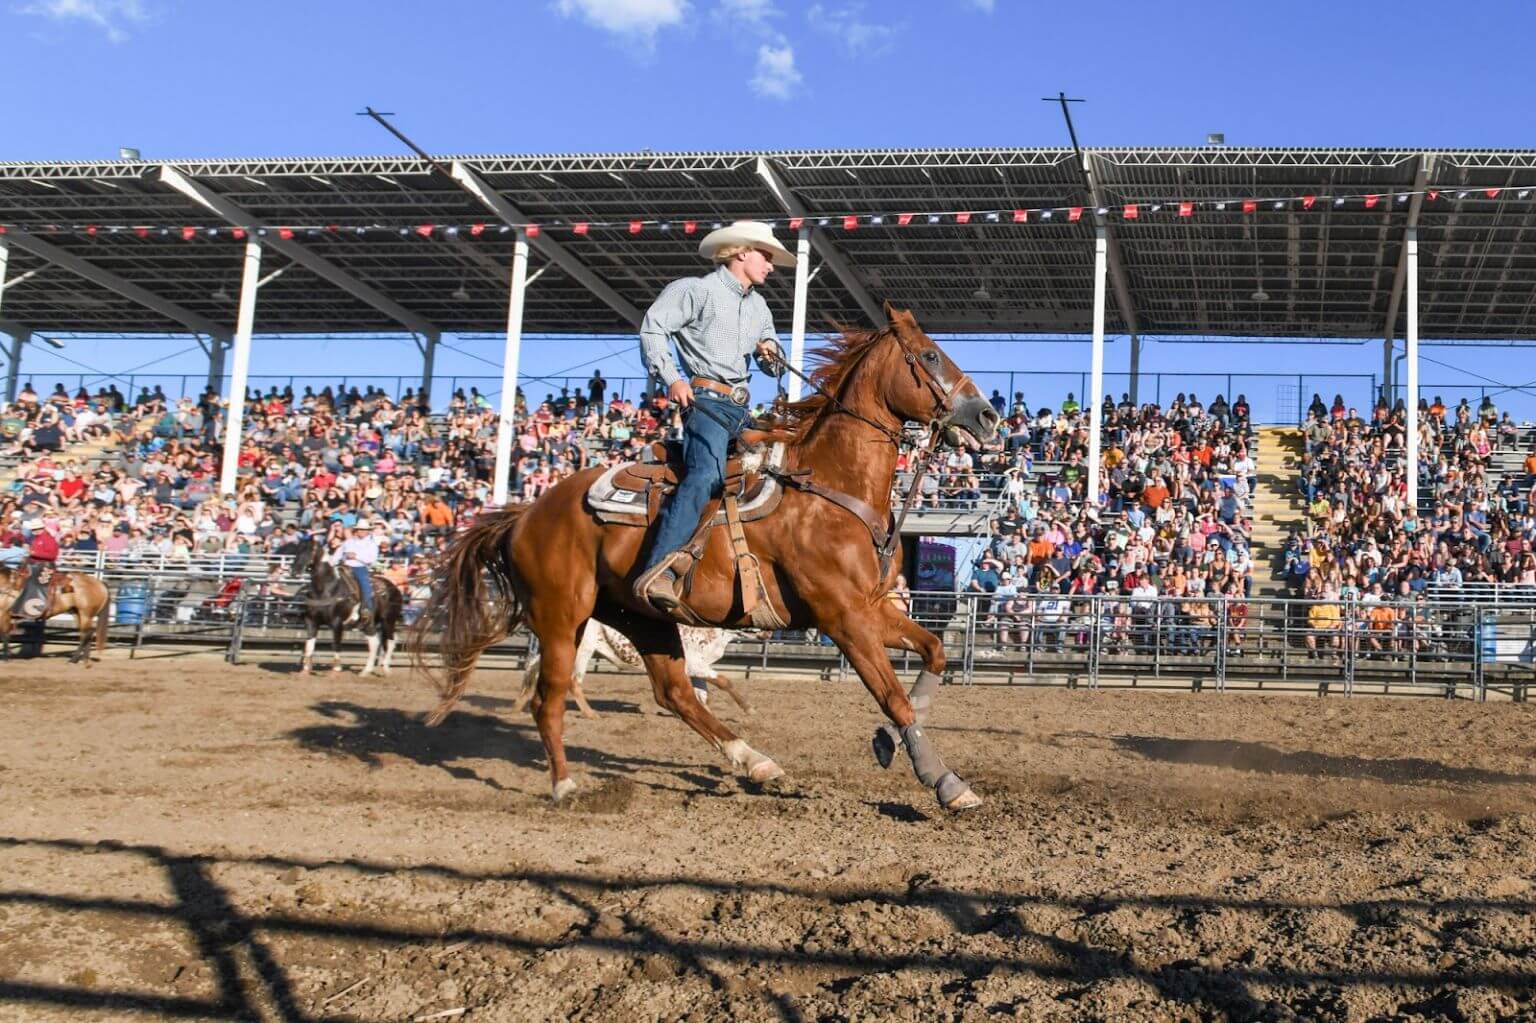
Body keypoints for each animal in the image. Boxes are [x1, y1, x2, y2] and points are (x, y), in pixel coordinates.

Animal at [288, 537, 405, 672]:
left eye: (310, 550)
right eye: (297, 550)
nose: (294, 572)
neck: (327, 588)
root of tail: (394, 588)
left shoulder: (337, 622)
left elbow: (336, 644)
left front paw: (337, 668)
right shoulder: (311, 621)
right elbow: (310, 646)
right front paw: (306, 669)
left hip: (388, 620)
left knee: (390, 641)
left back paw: (385, 668)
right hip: (369, 623)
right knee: (374, 642)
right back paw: (366, 671)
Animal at [414, 307, 1001, 811]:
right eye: (929, 356)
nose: (989, 415)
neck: (829, 488)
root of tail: (528, 512)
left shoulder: (873, 607)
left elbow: (934, 654)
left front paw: (892, 742)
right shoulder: (843, 617)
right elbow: (893, 696)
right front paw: (945, 782)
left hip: (641, 617)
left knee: (674, 692)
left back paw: (756, 761)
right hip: (562, 616)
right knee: (550, 697)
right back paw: (565, 785)